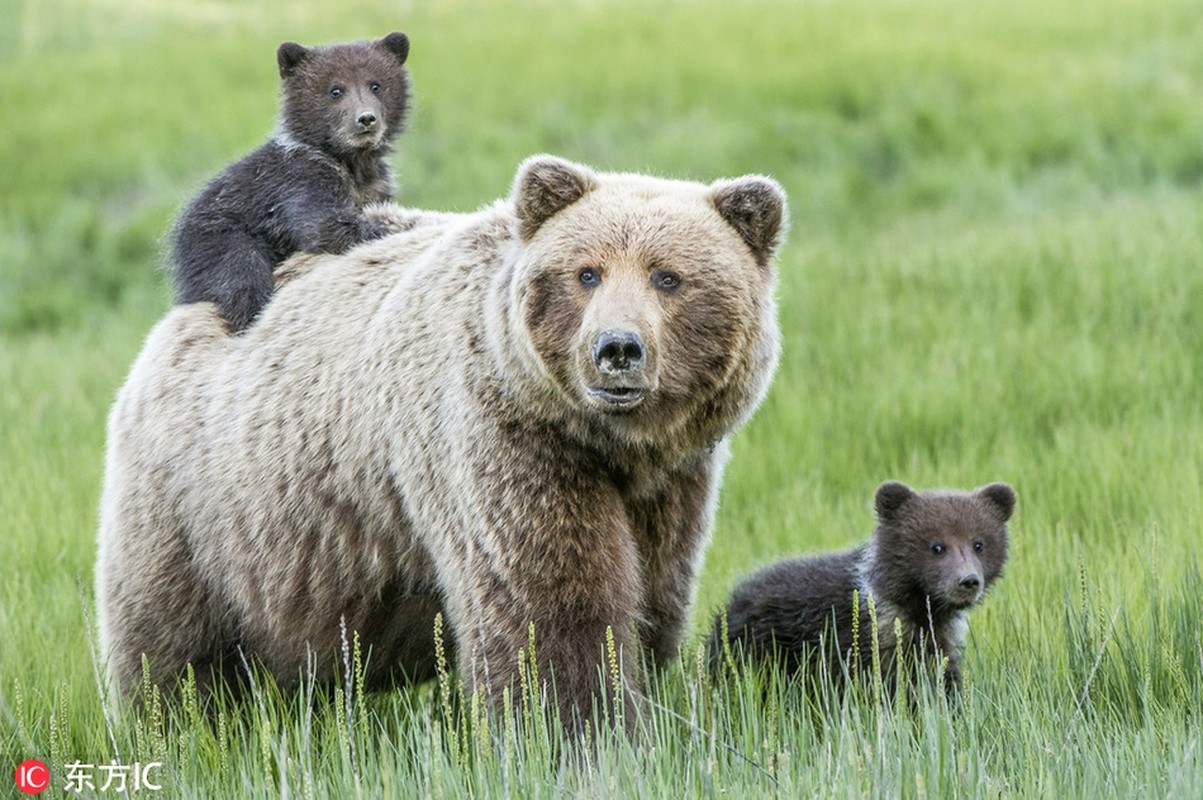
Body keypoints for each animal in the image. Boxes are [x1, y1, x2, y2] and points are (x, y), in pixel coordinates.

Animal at [96, 153, 789, 731]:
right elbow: (548, 607)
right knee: (174, 647)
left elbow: (654, 597)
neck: (607, 442)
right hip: (201, 509)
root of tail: (174, 320)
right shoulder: (502, 438)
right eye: (587, 273)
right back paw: (186, 728)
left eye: (668, 277)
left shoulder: (674, 480)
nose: (616, 349)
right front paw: (576, 730)